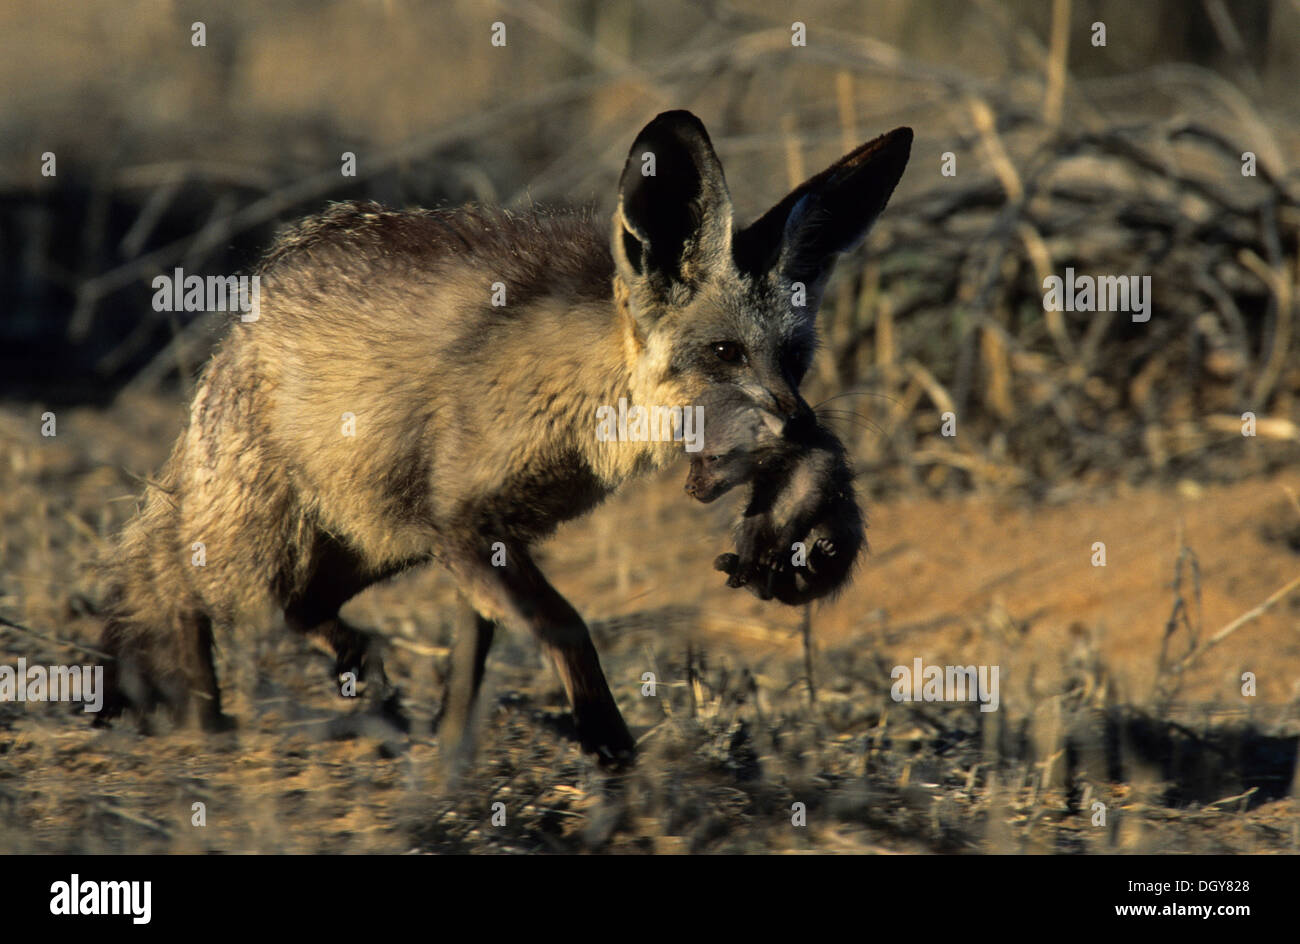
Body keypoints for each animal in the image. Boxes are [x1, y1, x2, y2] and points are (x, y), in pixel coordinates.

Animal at [96, 109, 911, 767]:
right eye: (724, 353)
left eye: (795, 360)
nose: (805, 430)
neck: (583, 403)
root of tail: (240, 323)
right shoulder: (462, 525)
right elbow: (567, 627)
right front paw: (608, 746)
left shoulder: (483, 539)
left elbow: (475, 658)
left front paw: (449, 760)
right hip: (264, 543)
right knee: (173, 586)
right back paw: (202, 725)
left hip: (371, 543)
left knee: (295, 608)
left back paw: (357, 679)